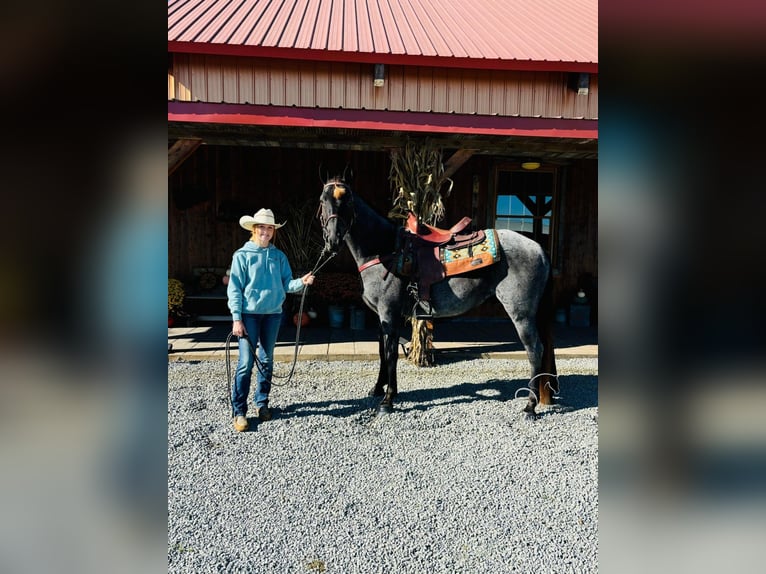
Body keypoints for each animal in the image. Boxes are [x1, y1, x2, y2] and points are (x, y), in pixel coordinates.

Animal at [318, 178, 560, 416]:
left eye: (348, 201)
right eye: (322, 200)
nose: (333, 240)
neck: (386, 250)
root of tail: (538, 248)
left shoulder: (389, 313)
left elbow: (390, 355)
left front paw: (387, 401)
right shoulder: (381, 317)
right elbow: (381, 352)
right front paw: (377, 389)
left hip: (522, 314)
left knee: (534, 350)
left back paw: (530, 406)